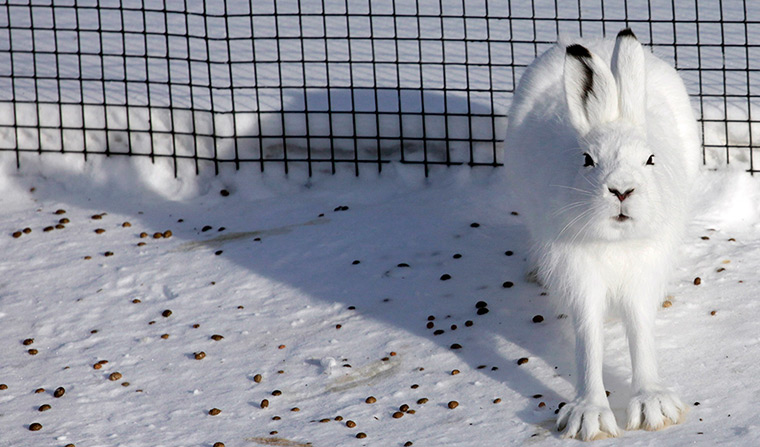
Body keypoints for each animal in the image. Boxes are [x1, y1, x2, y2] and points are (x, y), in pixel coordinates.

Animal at [503, 29, 701, 441]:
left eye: (650, 159)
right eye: (587, 160)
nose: (621, 191)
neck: (616, 244)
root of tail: (598, 39)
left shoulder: (643, 273)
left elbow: (640, 328)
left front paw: (654, 406)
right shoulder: (579, 275)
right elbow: (588, 334)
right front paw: (589, 417)